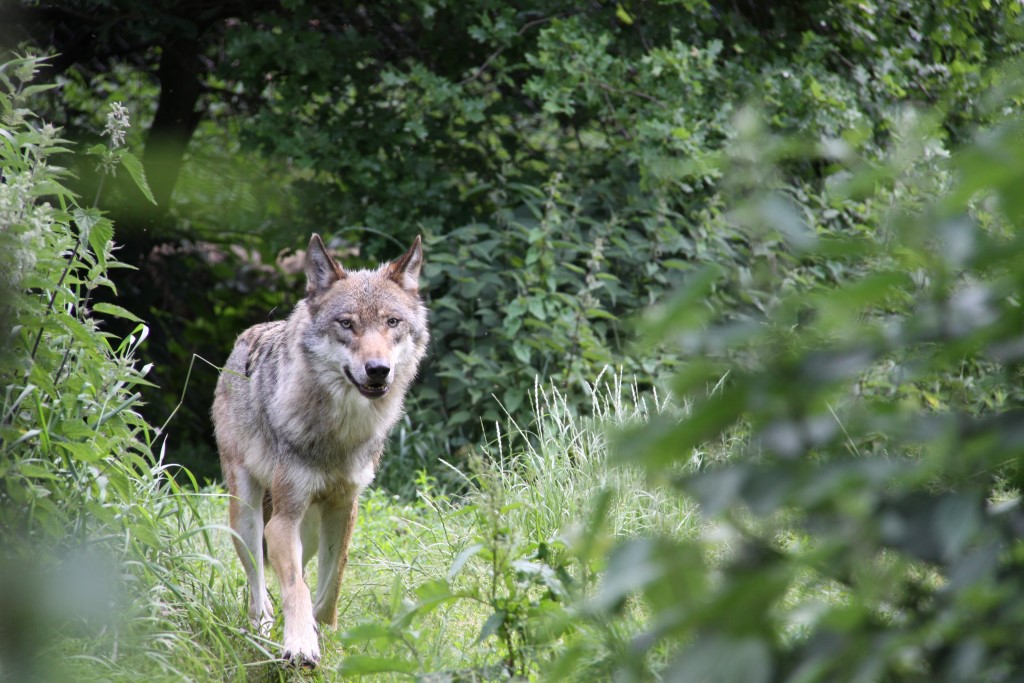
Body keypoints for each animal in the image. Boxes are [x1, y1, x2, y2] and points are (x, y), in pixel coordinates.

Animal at [212, 234, 428, 668]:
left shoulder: (345, 509)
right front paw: (300, 644)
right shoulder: (283, 520)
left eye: (392, 323)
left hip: (308, 532)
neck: (340, 433)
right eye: (346, 324)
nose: (378, 369)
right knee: (258, 587)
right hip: (248, 515)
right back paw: (262, 628)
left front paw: (321, 631)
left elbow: (331, 583)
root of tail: (247, 335)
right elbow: (297, 587)